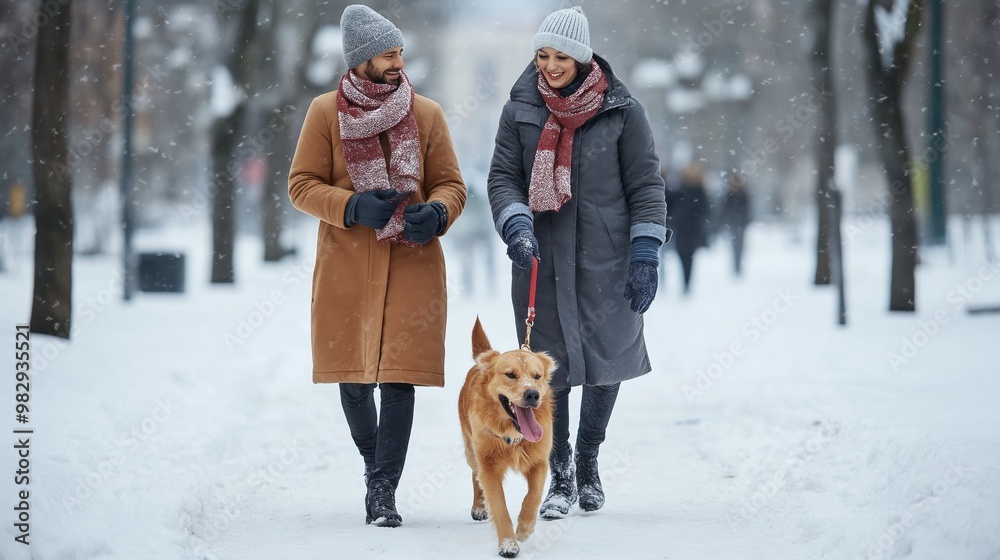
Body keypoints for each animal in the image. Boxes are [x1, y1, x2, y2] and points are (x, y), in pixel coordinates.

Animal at [458, 318, 560, 556]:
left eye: (537, 376)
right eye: (510, 374)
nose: (532, 394)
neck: (512, 434)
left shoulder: (540, 461)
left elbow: (534, 495)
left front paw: (524, 527)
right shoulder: (489, 467)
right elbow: (499, 506)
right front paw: (508, 544)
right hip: (471, 450)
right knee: (475, 474)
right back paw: (479, 507)